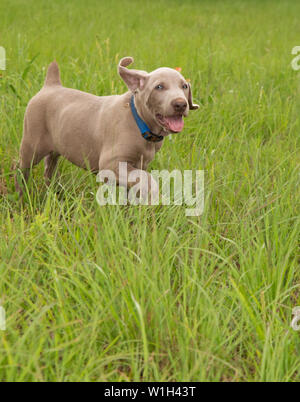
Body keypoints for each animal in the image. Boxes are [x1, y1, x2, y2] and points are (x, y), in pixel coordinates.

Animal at [16, 57, 199, 199]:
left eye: (184, 86)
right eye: (159, 87)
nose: (180, 104)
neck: (139, 122)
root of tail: (51, 85)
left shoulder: (138, 164)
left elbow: (136, 184)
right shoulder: (110, 164)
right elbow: (145, 178)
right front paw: (154, 195)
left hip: (55, 146)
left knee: (50, 167)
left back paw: (53, 192)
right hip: (32, 144)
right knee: (21, 168)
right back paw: (21, 195)